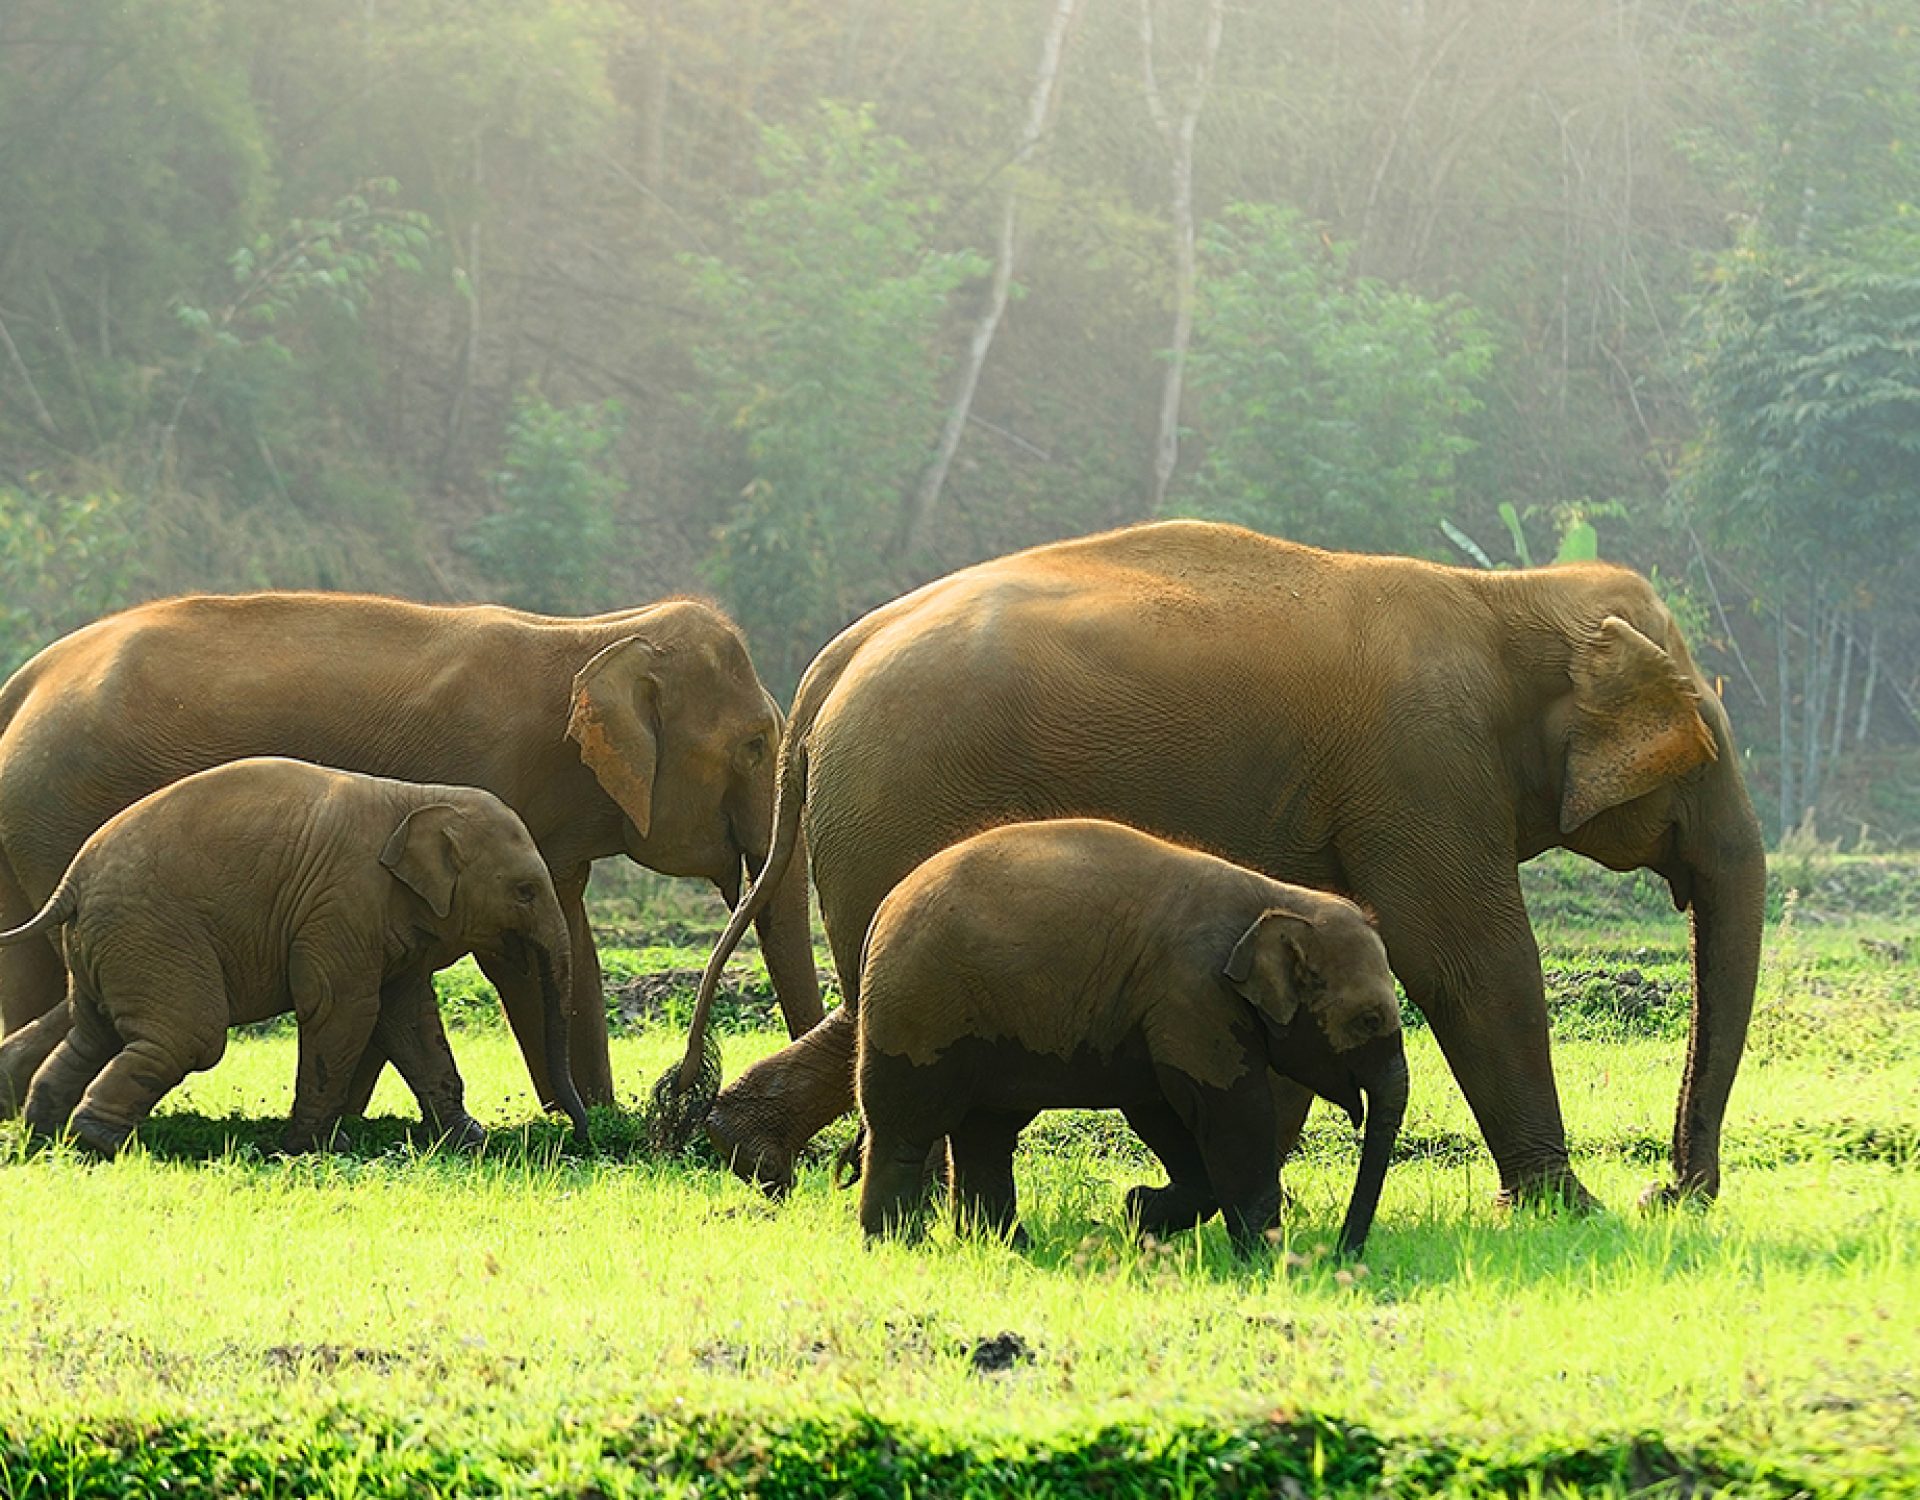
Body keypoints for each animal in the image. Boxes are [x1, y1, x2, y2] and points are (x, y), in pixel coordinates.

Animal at [0, 591, 817, 1106]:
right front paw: (587, 1120)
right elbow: (514, 960)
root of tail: (24, 682)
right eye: (754, 745)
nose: (682, 1099)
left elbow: (572, 946)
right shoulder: (487, 781)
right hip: (65, 806)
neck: (590, 634)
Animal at [0, 760, 591, 1160]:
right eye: (524, 892)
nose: (580, 1135)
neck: (415, 798)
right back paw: (98, 1142)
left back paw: (45, 1135)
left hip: (108, 943)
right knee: (191, 1036)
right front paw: (309, 1149)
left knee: (92, 1032)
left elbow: (410, 1018)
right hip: (153, 934)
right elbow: (342, 1009)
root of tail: (71, 882)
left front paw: (469, 1142)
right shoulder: (341, 903)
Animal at [856, 818, 1413, 1252]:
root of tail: (885, 906)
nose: (1343, 1254)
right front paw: (1263, 1258)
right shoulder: (1193, 993)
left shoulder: (1160, 1011)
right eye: (1368, 1020)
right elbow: (1229, 1109)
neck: (1280, 898)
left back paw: (1008, 1247)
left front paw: (1139, 1214)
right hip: (920, 1008)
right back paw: (897, 1247)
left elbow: (1162, 1108)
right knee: (909, 1124)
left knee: (986, 1132)